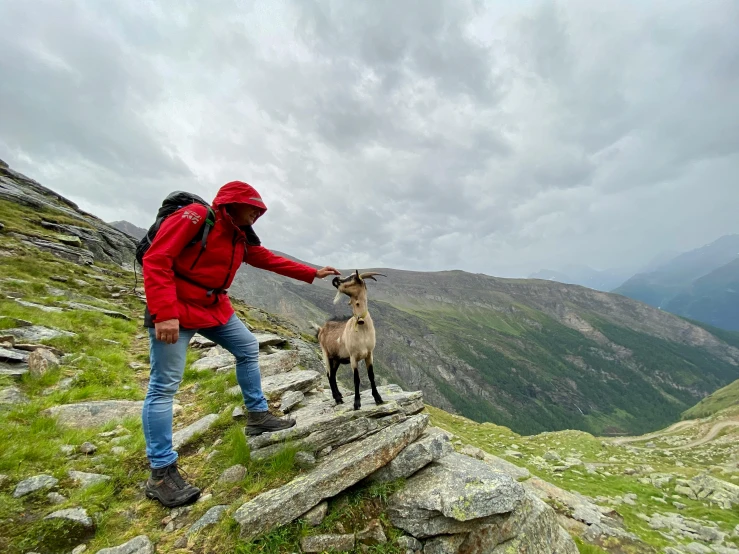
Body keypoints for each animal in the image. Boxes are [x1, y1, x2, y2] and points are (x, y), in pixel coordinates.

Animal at [314, 270, 388, 408]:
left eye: (352, 277)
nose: (335, 279)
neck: (361, 326)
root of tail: (321, 329)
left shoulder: (369, 354)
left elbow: (371, 376)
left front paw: (378, 398)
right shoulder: (353, 356)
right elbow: (356, 379)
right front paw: (356, 403)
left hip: (336, 358)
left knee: (332, 375)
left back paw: (339, 396)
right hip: (326, 353)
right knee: (329, 374)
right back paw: (337, 398)